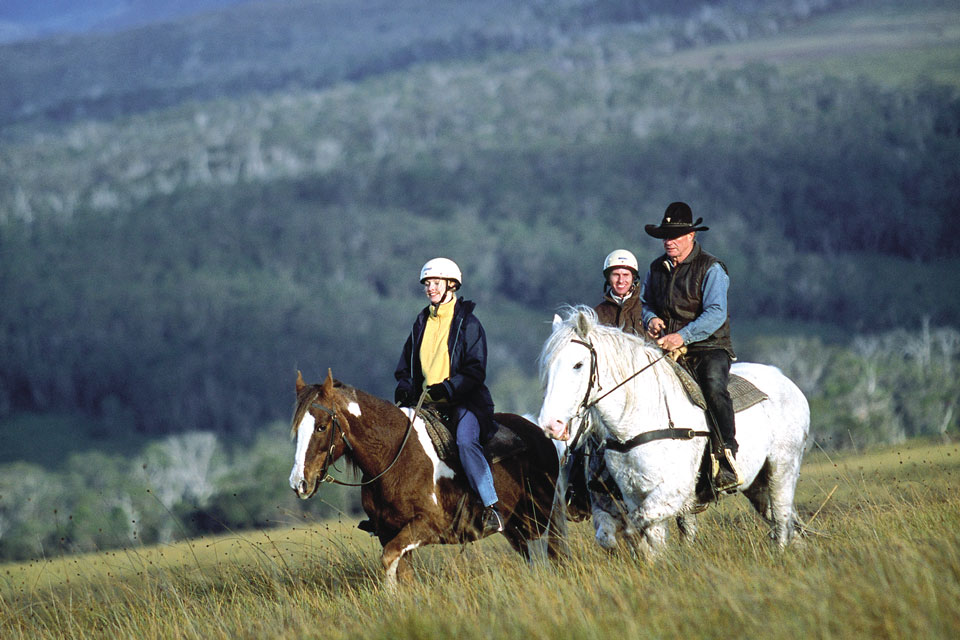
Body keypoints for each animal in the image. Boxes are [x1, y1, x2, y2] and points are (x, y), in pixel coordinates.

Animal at [288, 370, 568, 584]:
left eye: (322, 426)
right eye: (298, 428)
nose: (299, 482)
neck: (395, 457)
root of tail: (537, 430)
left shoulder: (428, 525)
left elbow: (388, 559)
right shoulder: (389, 532)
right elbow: (401, 571)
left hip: (543, 515)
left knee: (553, 551)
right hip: (515, 527)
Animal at [540, 306, 808, 556]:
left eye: (578, 364)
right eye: (549, 366)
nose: (550, 425)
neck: (639, 422)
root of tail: (787, 382)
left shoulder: (673, 493)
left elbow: (635, 528)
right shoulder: (632, 494)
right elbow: (641, 536)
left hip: (782, 470)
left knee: (782, 519)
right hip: (757, 484)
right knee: (783, 523)